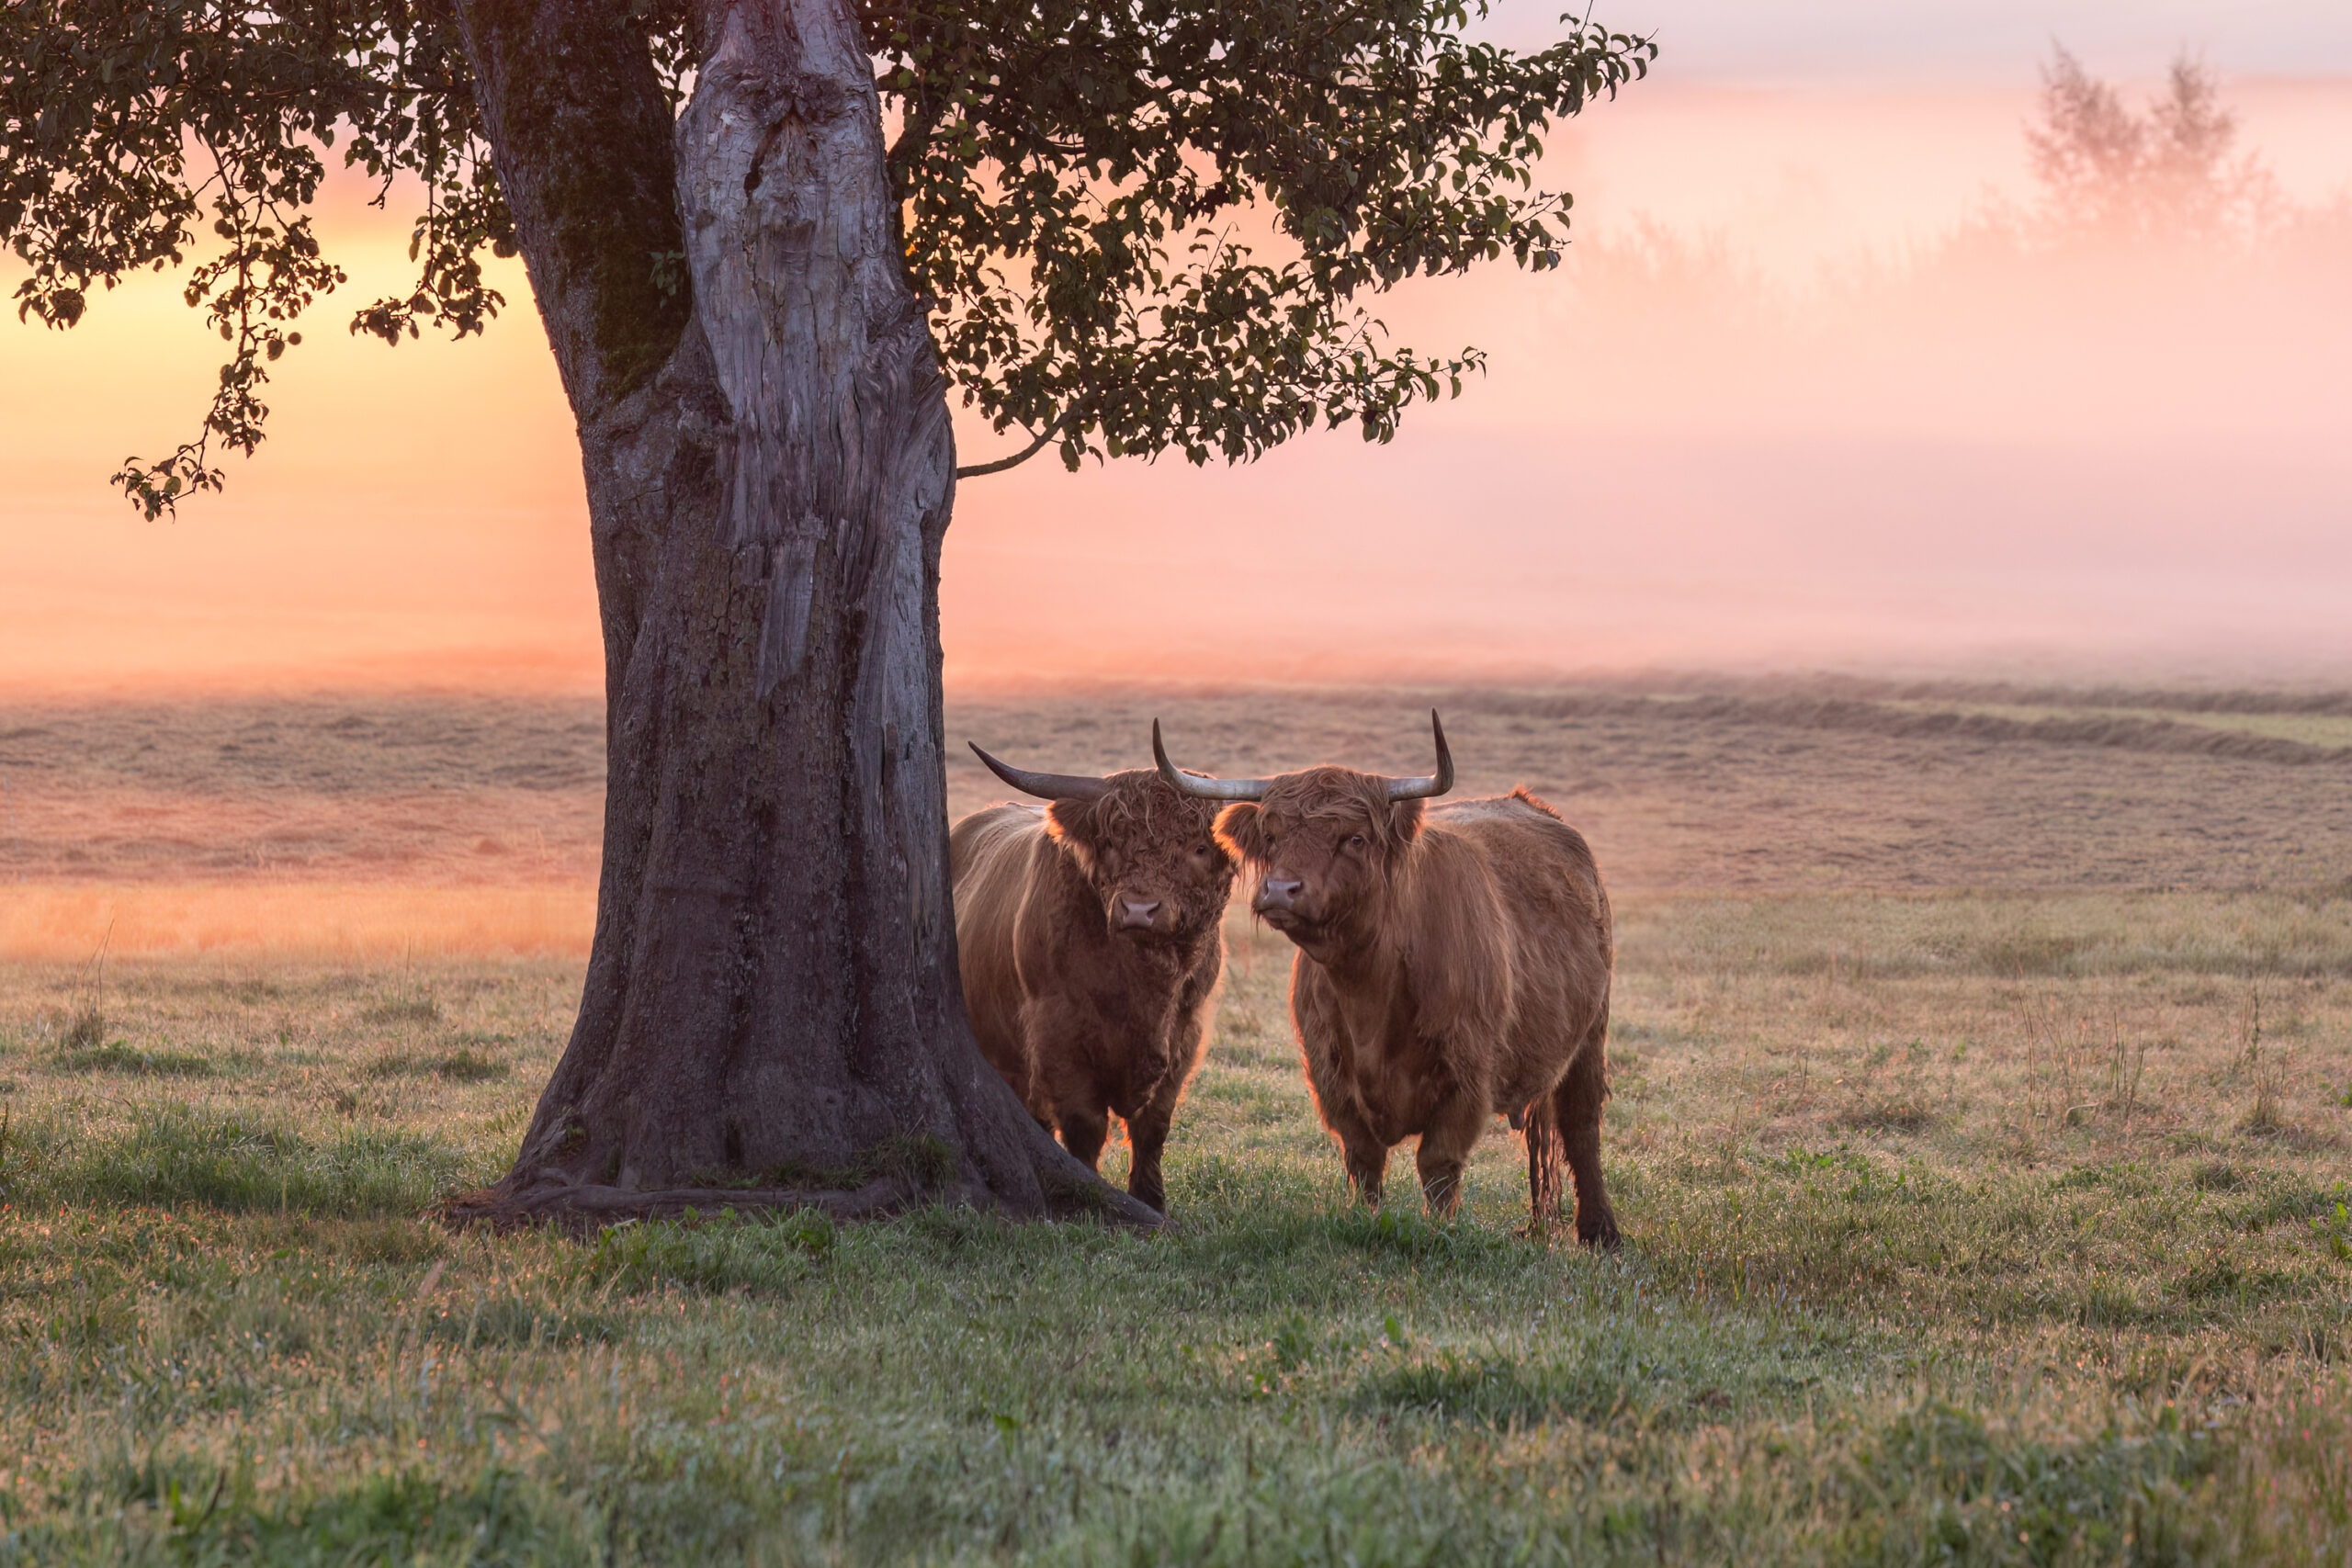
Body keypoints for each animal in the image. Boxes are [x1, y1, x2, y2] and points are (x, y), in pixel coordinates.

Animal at [945, 747, 1241, 1213]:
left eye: (1200, 847)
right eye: (1113, 843)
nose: (1139, 910)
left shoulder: (1184, 1036)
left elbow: (1153, 1126)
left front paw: (1152, 1202)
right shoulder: (1056, 1037)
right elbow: (1084, 1125)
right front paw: (1091, 1196)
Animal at [1157, 715, 1618, 1250]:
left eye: (1354, 838)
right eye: (1271, 837)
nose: (1280, 889)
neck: (1369, 994)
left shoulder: (1468, 1076)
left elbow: (1438, 1167)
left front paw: (1441, 1232)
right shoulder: (1330, 1075)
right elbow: (1364, 1162)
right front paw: (1364, 1221)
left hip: (1591, 1033)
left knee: (1582, 1128)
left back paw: (1601, 1232)